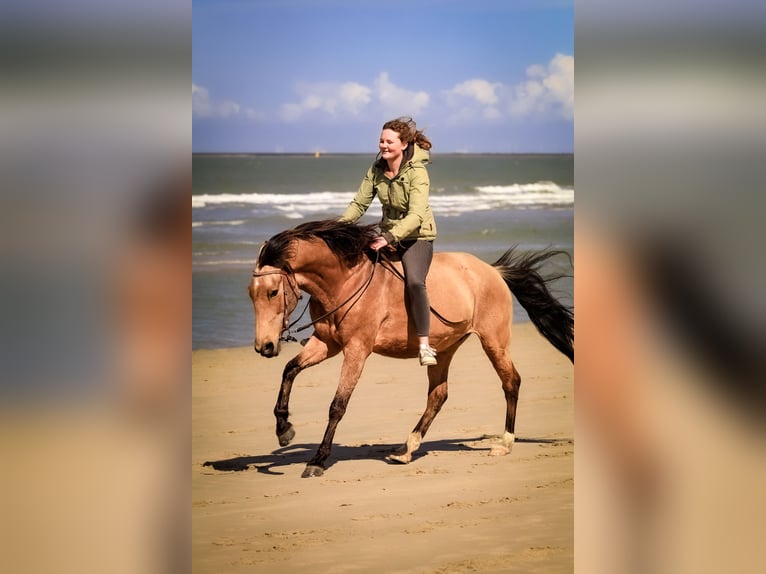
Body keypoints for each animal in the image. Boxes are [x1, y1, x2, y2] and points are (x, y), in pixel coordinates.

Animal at [249, 218, 572, 480]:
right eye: (251, 294)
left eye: (273, 292)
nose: (265, 346)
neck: (344, 282)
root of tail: (493, 271)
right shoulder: (326, 344)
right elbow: (289, 370)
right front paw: (284, 429)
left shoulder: (356, 349)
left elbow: (337, 405)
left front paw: (317, 460)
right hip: (445, 348)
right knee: (438, 395)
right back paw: (406, 448)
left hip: (494, 341)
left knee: (510, 382)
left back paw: (504, 443)